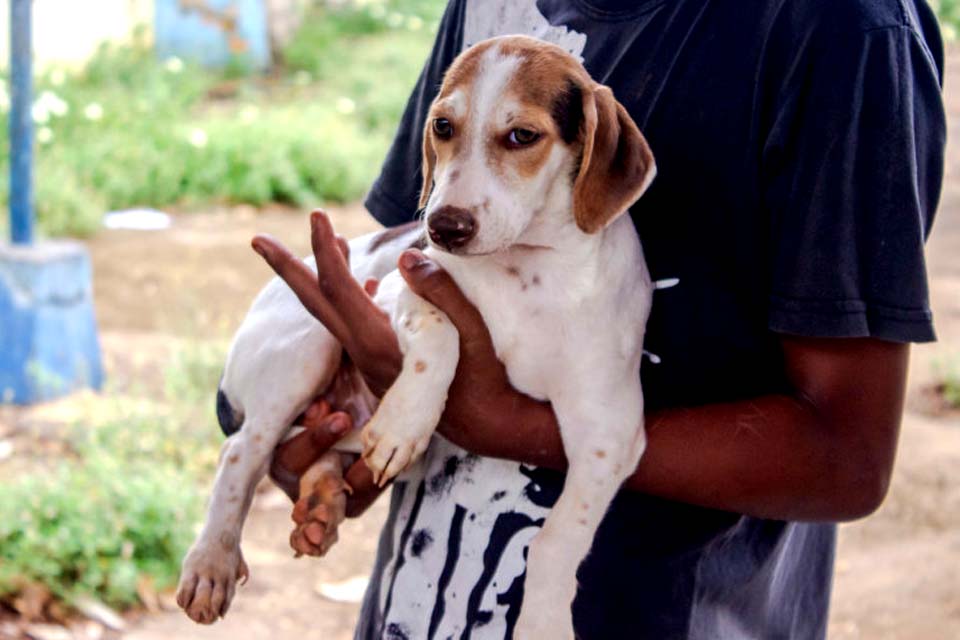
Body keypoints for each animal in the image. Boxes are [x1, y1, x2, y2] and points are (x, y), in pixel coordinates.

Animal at [176, 35, 656, 640]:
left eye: (522, 136)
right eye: (443, 126)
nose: (443, 227)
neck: (527, 272)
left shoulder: (609, 429)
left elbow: (560, 536)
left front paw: (543, 618)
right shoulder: (395, 288)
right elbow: (440, 331)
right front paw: (406, 419)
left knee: (316, 448)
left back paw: (324, 497)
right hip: (308, 343)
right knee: (242, 452)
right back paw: (212, 560)